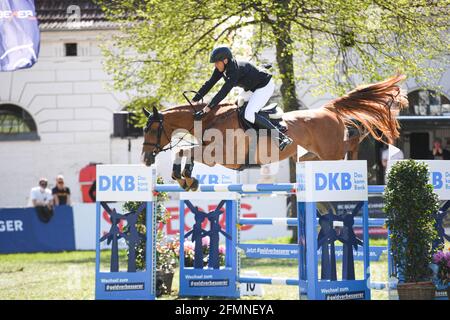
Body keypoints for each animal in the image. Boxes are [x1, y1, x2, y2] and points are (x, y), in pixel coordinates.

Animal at [143, 75, 408, 190]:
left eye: (153, 129)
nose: (145, 159)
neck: (208, 118)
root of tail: (328, 109)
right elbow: (182, 151)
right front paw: (184, 179)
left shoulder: (219, 157)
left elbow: (186, 151)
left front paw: (188, 179)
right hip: (313, 155)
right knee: (309, 158)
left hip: (332, 152)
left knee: (347, 148)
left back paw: (356, 145)